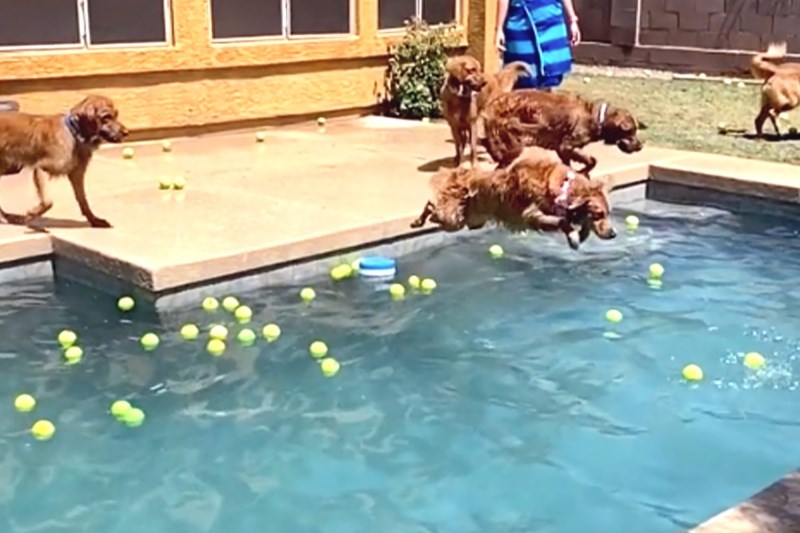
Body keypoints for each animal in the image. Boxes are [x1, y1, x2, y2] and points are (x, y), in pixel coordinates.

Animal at [0, 94, 128, 227]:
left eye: (116, 115)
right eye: (106, 117)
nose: (126, 132)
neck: (74, 134)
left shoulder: (77, 175)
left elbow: (83, 199)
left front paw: (94, 220)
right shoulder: (41, 168)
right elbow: (48, 201)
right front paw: (32, 213)